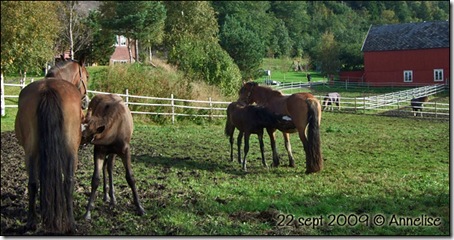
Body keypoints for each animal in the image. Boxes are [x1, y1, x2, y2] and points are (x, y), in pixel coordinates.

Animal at [14, 58, 88, 232]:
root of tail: (48, 90)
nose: (85, 102)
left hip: (31, 152)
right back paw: (71, 224)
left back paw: (31, 222)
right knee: (68, 182)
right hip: (71, 151)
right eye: (87, 76)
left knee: (33, 183)